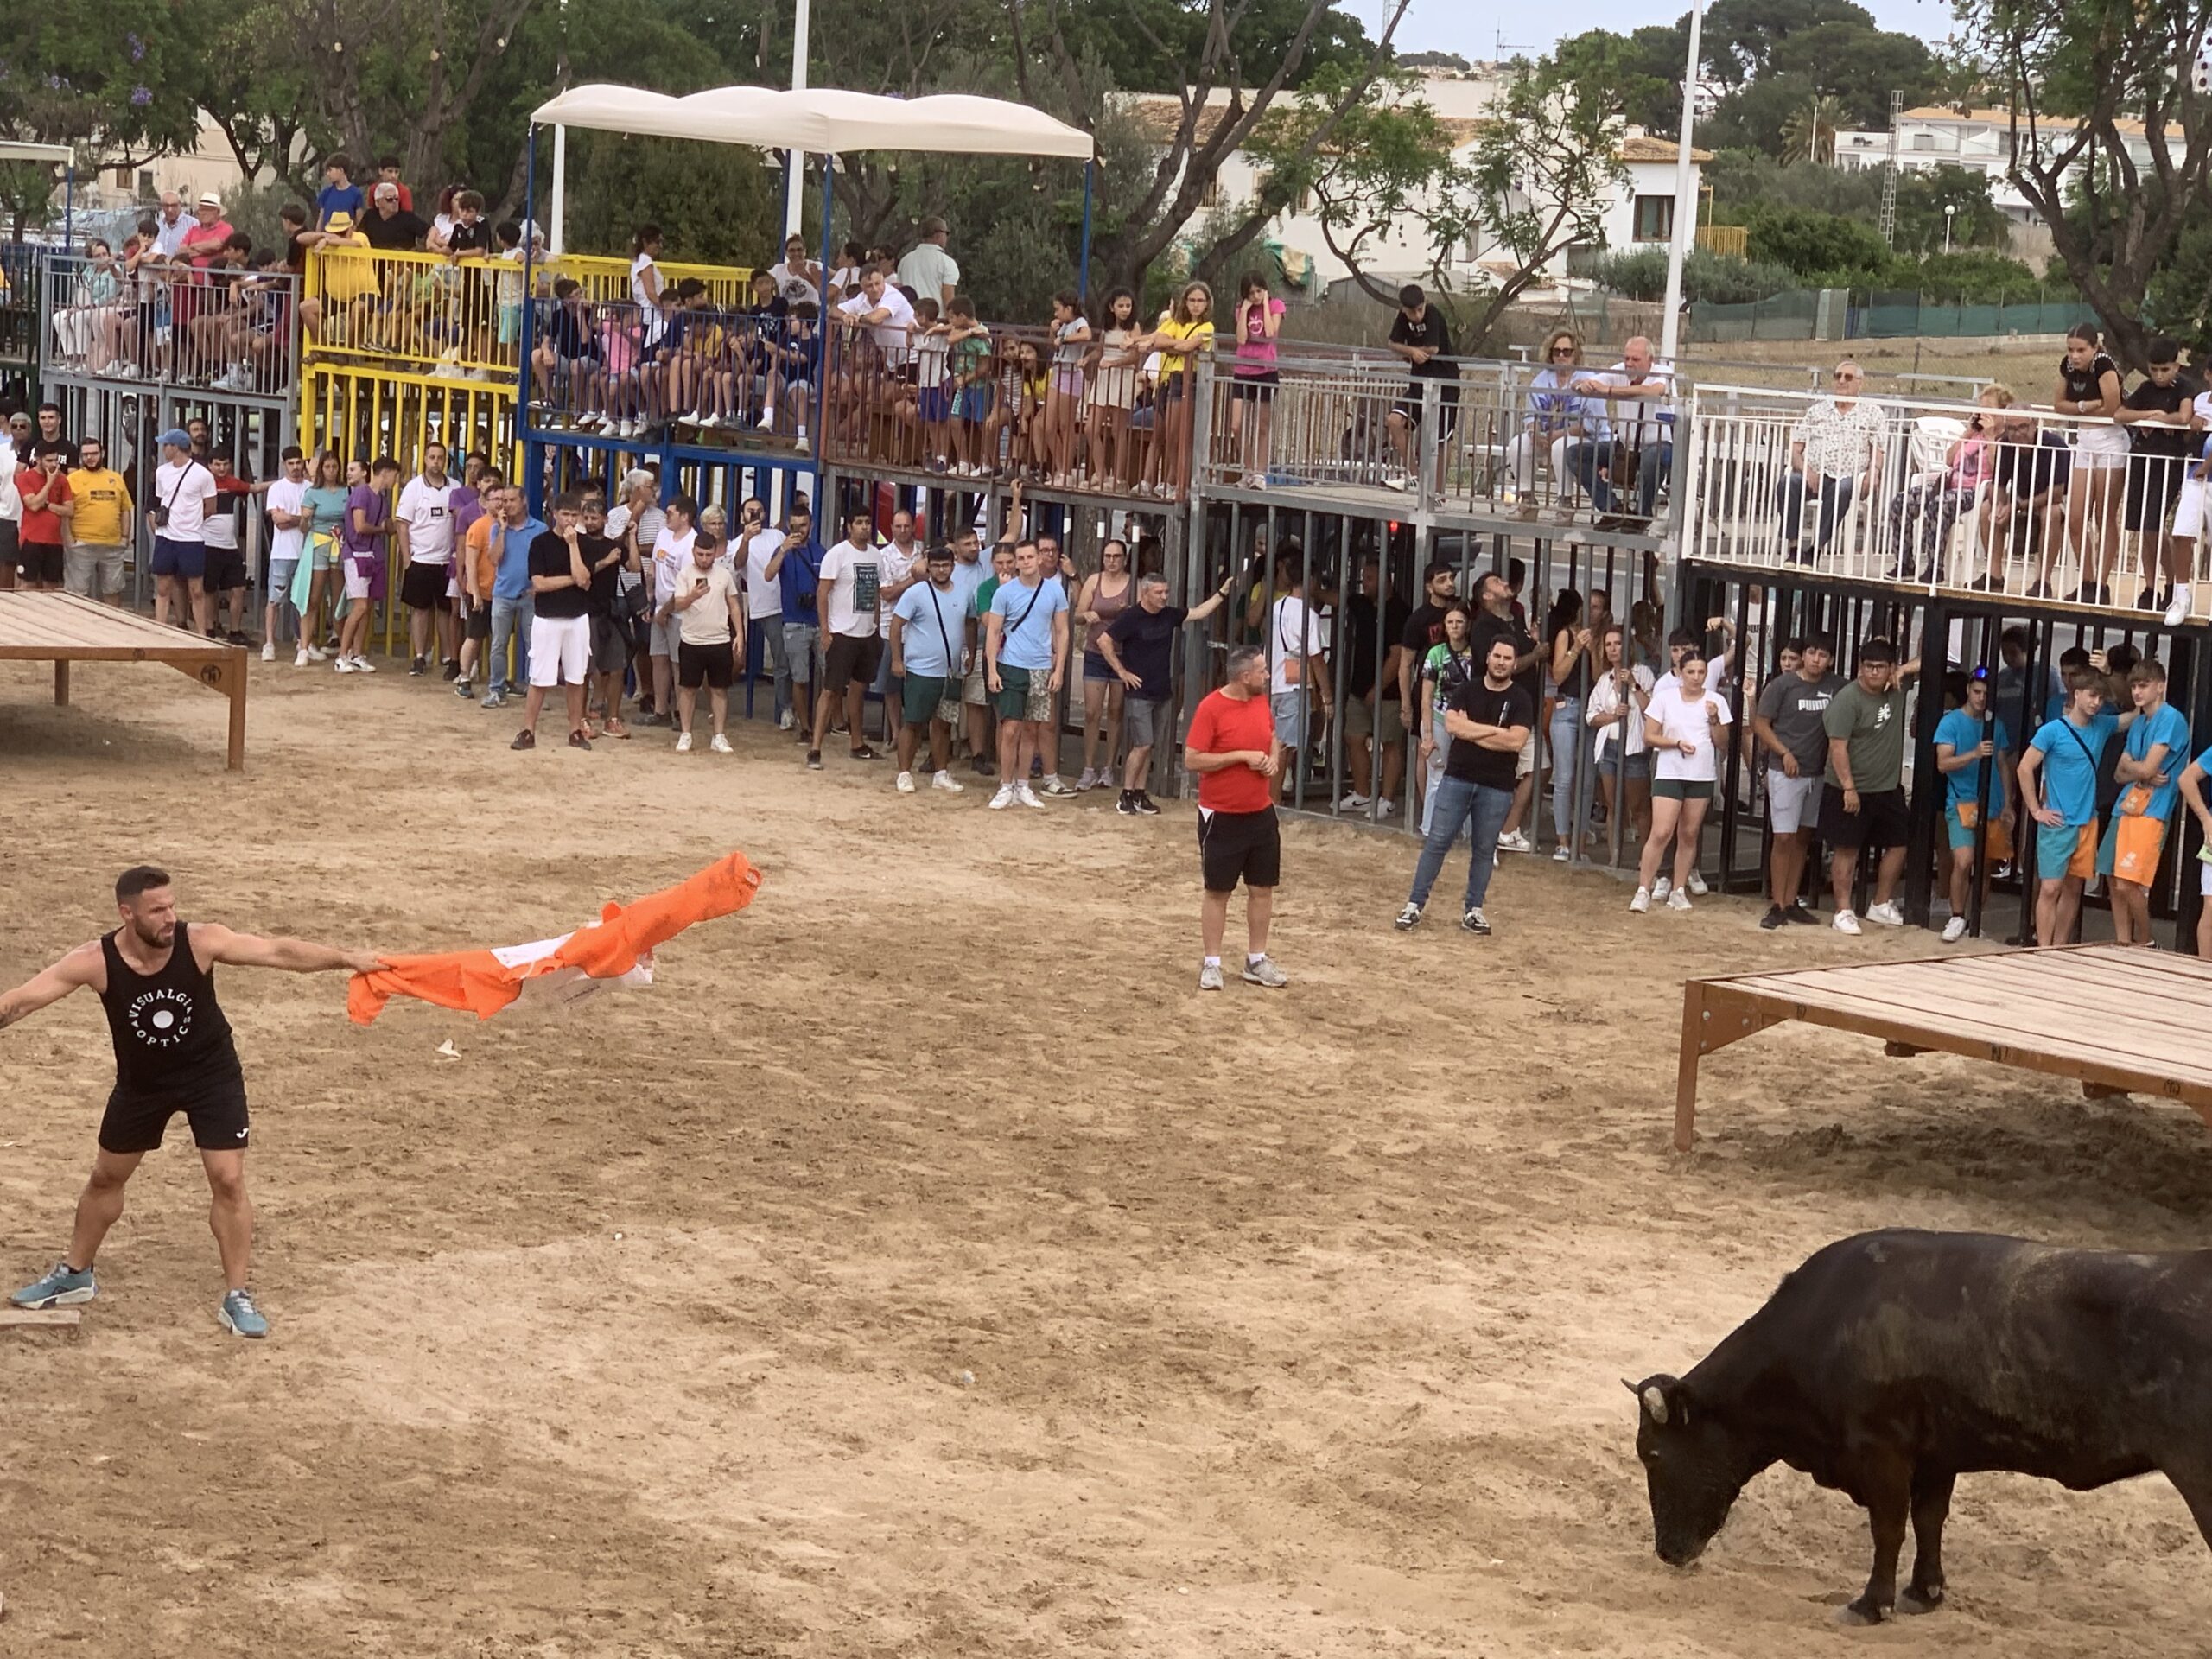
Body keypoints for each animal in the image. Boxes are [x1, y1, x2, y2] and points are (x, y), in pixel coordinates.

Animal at [1628, 1238, 2212, 1628]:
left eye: (1652, 1455)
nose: (1666, 1553)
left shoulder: (1881, 1452)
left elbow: (1888, 1527)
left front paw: (1872, 1603)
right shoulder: (1936, 1456)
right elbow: (1930, 1520)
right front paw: (1924, 1591)